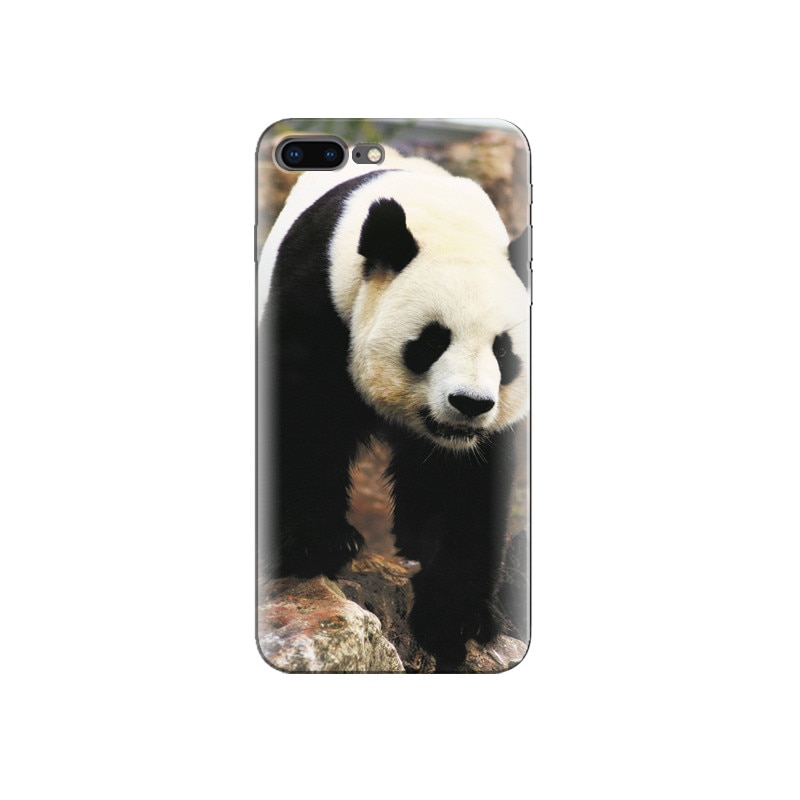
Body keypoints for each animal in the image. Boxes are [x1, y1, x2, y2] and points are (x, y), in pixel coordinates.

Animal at [258, 149, 529, 669]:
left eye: (504, 351)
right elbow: (305, 422)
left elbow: (459, 486)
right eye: (432, 341)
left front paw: (454, 615)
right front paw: (316, 544)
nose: (469, 404)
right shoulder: (319, 301)